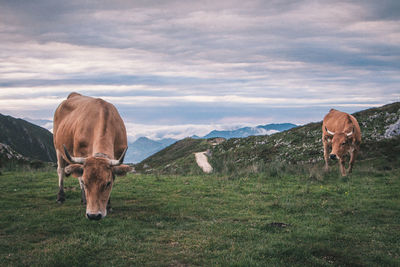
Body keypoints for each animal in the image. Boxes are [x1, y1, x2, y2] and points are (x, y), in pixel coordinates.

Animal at [52, 93, 131, 221]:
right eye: (86, 182)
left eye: (108, 183)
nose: (93, 215)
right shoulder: (79, 153)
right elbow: (80, 177)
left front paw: (108, 205)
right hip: (58, 148)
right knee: (61, 170)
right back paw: (61, 197)